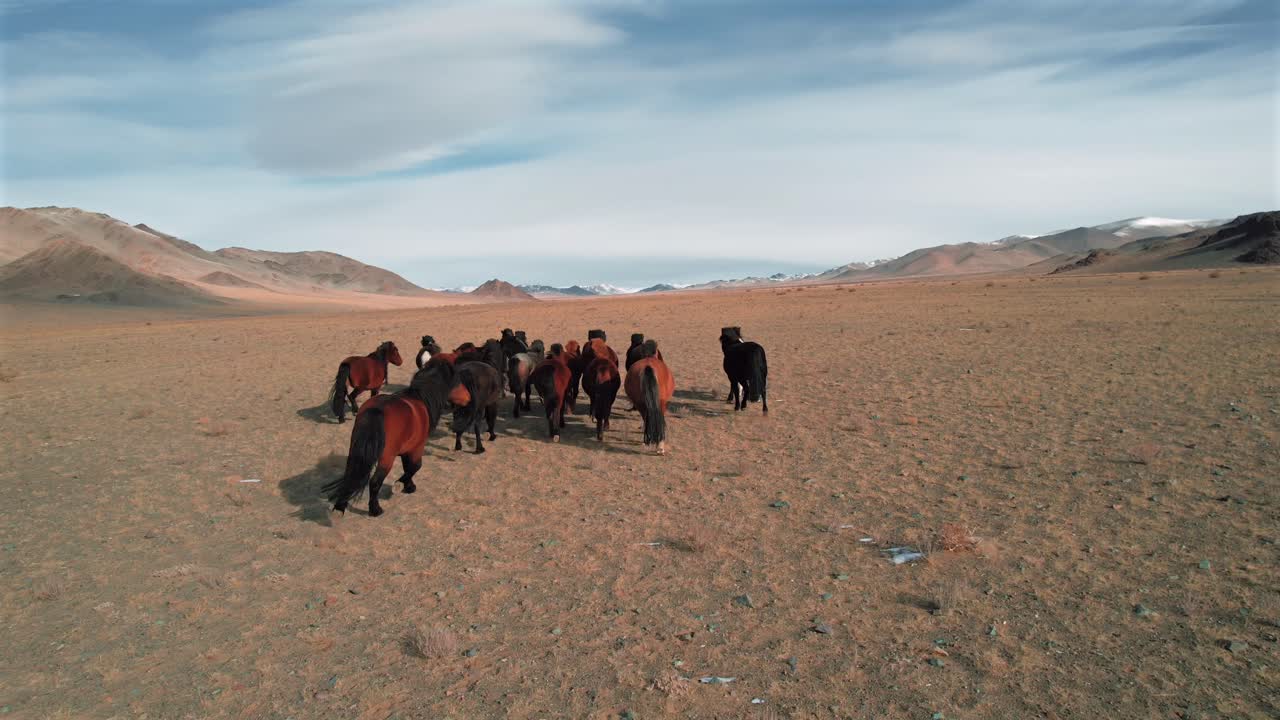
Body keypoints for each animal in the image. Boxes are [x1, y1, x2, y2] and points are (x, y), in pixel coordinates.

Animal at [321, 360, 455, 516]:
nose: (452, 406)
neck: (418, 398)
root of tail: (376, 410)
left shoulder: (406, 450)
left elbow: (407, 467)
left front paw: (409, 486)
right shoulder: (416, 448)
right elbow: (415, 467)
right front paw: (401, 485)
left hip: (356, 452)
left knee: (351, 476)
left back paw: (340, 507)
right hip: (387, 458)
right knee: (374, 482)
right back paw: (375, 510)